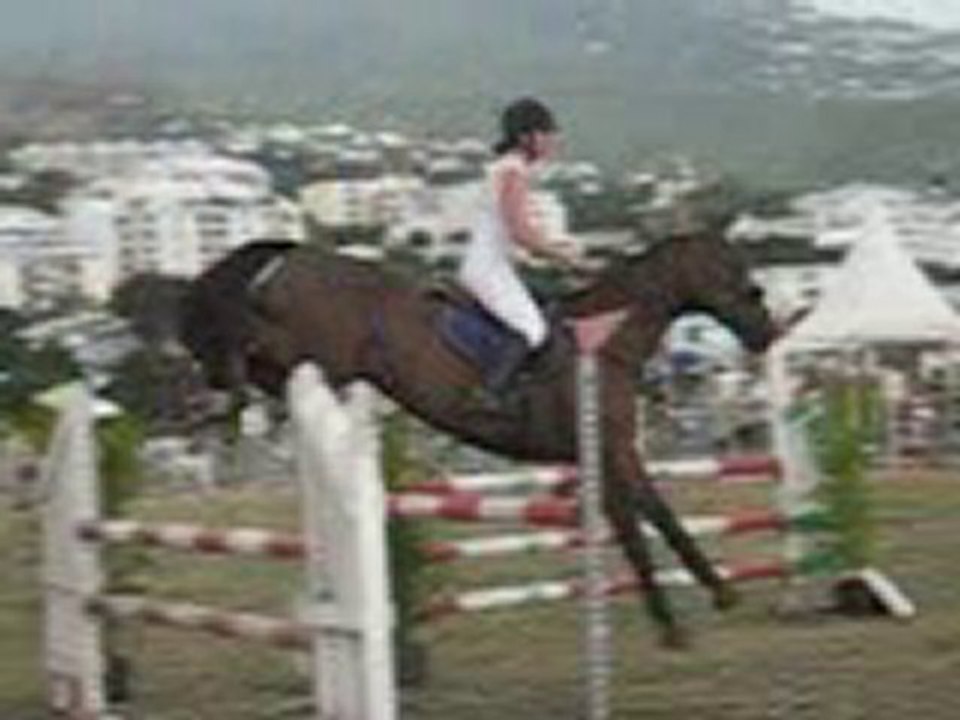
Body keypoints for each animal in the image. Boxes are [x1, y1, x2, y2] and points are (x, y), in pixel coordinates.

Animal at [178, 230, 778, 647]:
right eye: (734, 273)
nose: (768, 334)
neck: (607, 346)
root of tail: (294, 257)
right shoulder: (608, 455)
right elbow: (642, 526)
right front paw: (682, 618)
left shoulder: (613, 456)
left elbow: (654, 518)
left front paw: (710, 597)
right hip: (313, 352)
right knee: (246, 347)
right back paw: (218, 397)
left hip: (313, 364)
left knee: (263, 371)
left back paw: (222, 404)